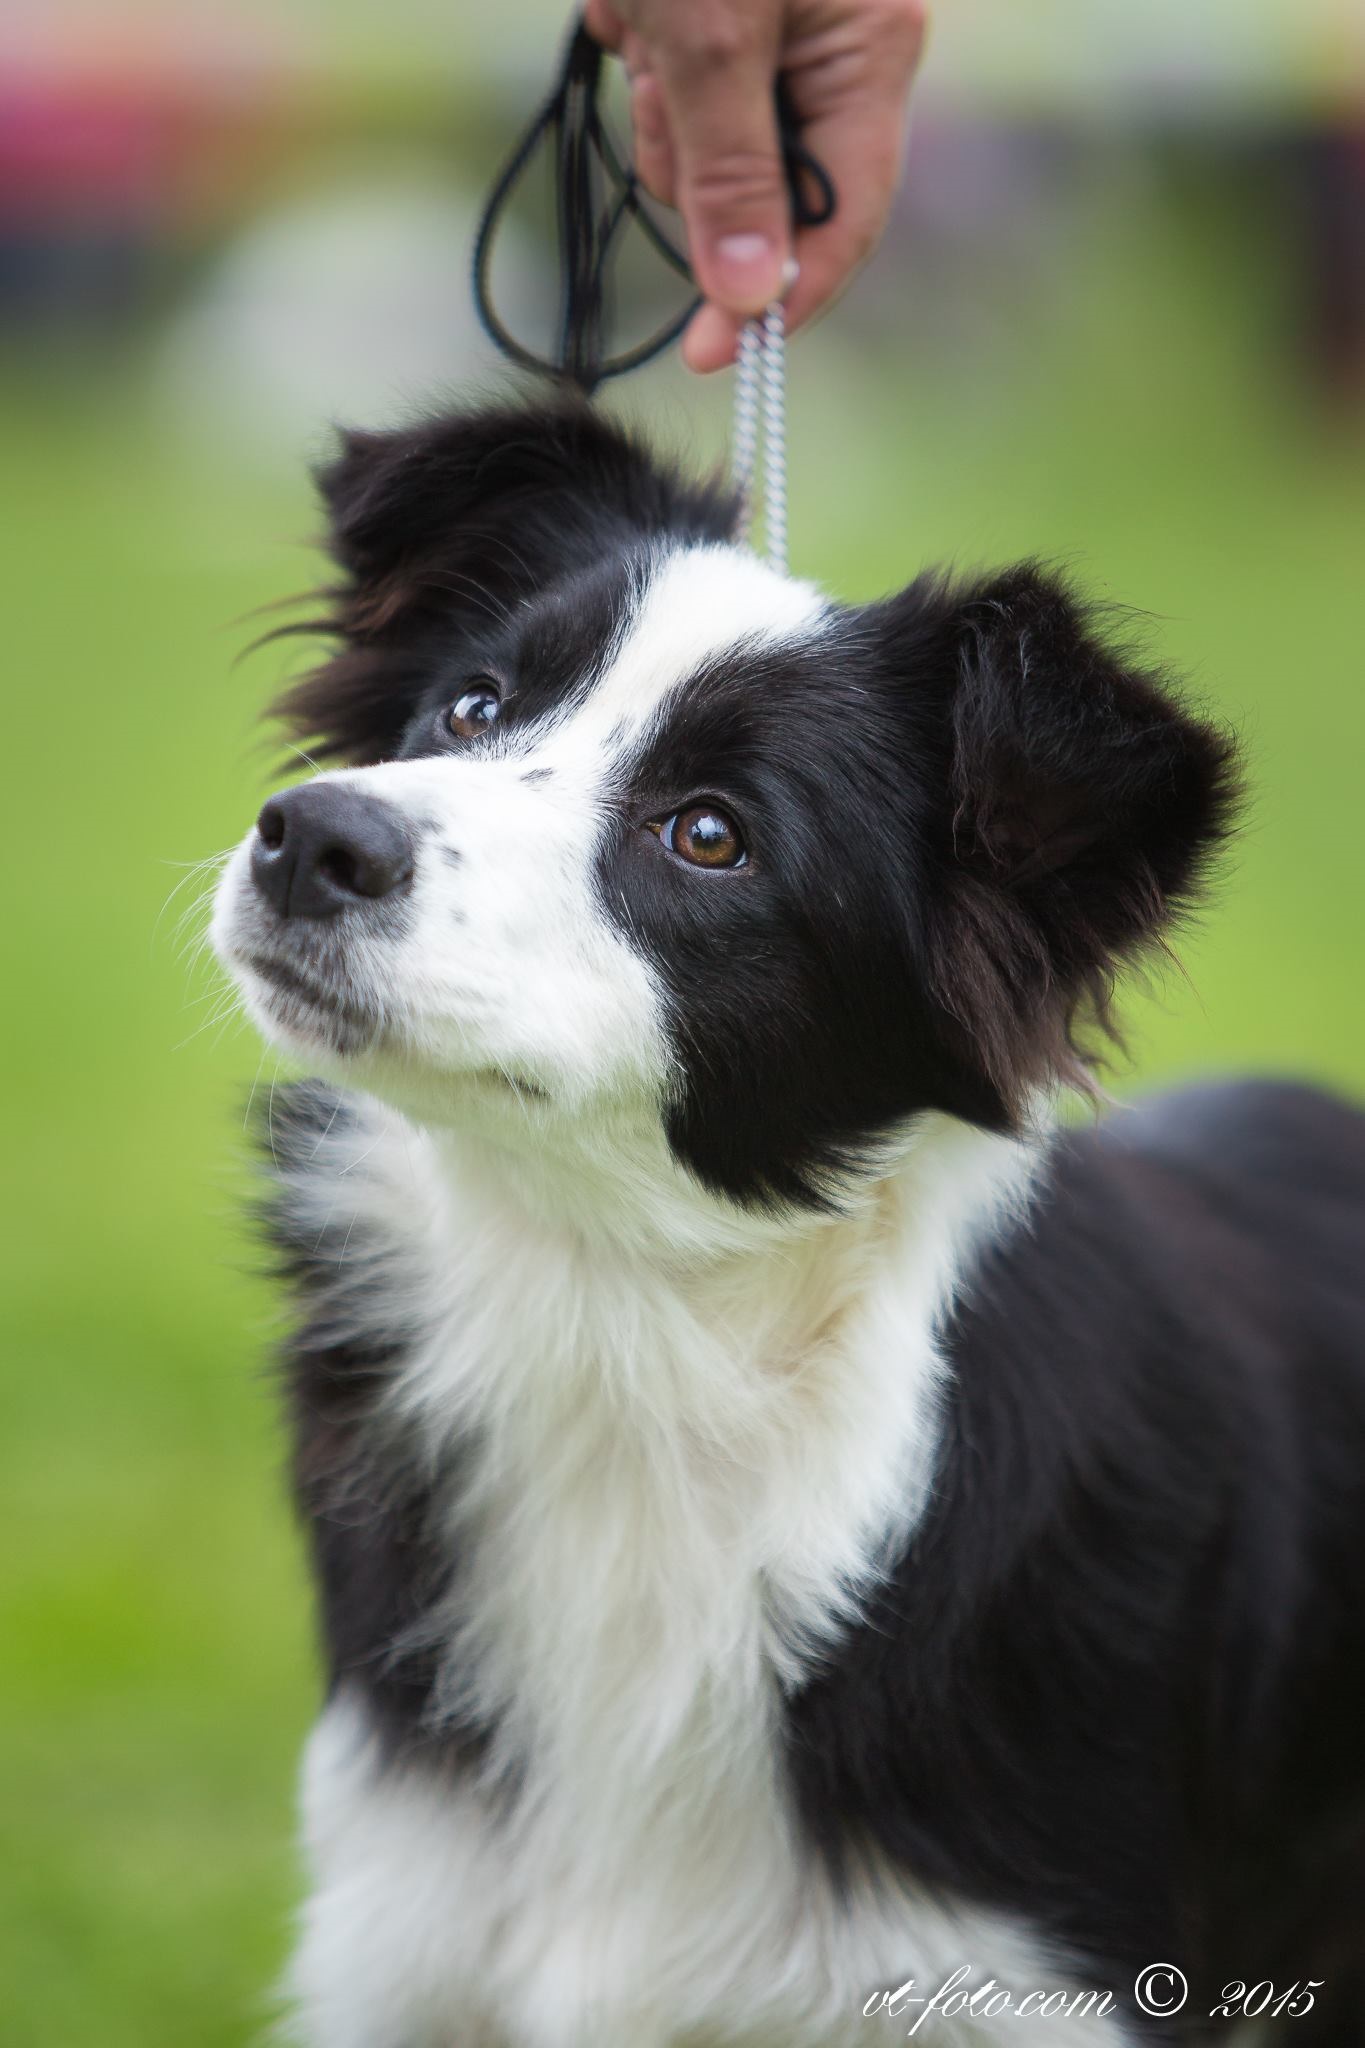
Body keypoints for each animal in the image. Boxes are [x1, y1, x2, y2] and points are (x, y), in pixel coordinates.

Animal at [208, 399, 1365, 2048]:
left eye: (710, 836)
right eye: (470, 707)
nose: (310, 838)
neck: (630, 1335)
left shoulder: (1036, 1976)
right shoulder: (409, 1934)